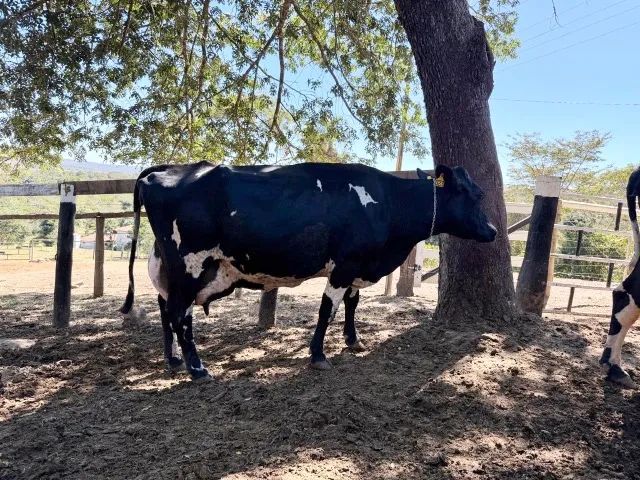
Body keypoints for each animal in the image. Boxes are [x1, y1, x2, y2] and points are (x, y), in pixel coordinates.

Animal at [120, 162, 496, 381]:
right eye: (476, 195)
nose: (493, 230)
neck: (387, 203)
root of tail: (164, 170)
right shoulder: (344, 265)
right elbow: (327, 309)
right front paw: (318, 354)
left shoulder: (356, 266)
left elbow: (352, 304)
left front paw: (354, 341)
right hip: (189, 264)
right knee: (179, 314)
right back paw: (197, 370)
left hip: (175, 269)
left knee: (166, 309)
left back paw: (173, 361)